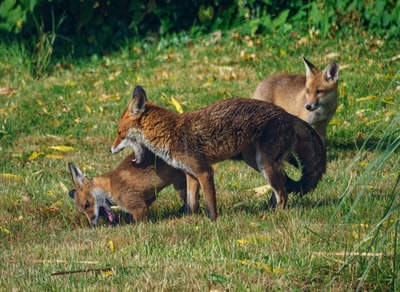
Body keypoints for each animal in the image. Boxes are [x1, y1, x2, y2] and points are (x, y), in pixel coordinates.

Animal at [108, 85, 324, 220]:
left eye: (119, 133)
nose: (110, 149)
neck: (170, 133)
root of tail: (287, 114)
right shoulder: (190, 174)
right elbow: (191, 203)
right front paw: (190, 220)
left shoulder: (204, 171)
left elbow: (210, 203)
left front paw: (213, 222)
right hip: (256, 162)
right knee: (283, 185)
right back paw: (269, 209)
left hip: (265, 164)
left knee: (283, 193)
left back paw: (276, 216)